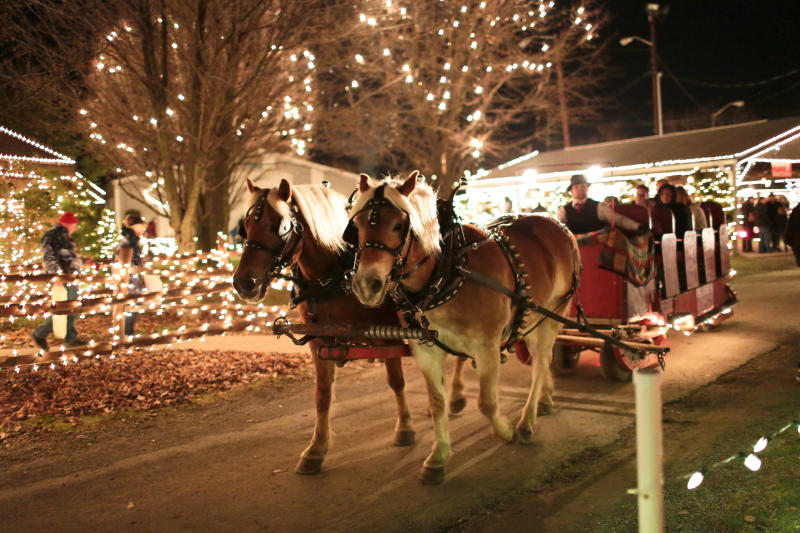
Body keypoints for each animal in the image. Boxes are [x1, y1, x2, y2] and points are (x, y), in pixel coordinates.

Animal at [231, 179, 416, 474]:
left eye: (279, 225)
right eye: (246, 225)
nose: (243, 283)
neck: (334, 276)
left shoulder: (388, 333)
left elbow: (396, 381)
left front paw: (405, 428)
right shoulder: (320, 339)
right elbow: (322, 394)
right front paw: (316, 449)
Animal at [346, 172, 580, 484]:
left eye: (398, 225)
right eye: (357, 225)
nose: (366, 284)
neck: (447, 270)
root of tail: (559, 226)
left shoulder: (487, 346)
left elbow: (487, 402)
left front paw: (506, 431)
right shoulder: (426, 351)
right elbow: (437, 403)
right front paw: (438, 457)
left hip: (551, 315)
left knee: (542, 363)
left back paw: (527, 421)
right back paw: (545, 398)